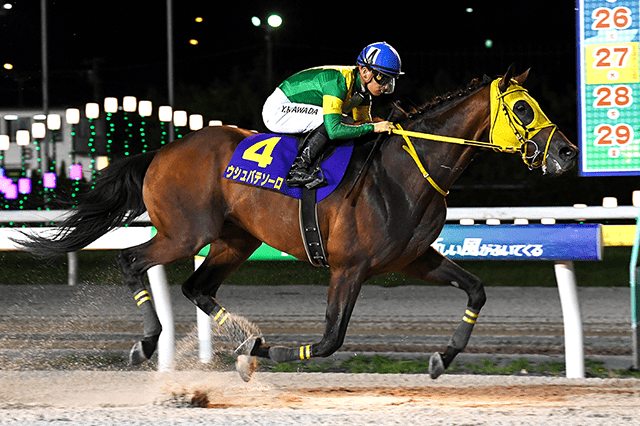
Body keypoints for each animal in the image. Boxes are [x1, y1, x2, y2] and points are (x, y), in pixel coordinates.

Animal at [17, 67, 580, 380]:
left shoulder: (413, 259)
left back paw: (243, 337)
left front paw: (443, 357)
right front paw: (257, 357)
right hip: (185, 232)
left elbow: (476, 289)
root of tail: (163, 150)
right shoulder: (349, 268)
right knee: (133, 259)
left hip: (235, 240)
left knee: (197, 286)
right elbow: (331, 339)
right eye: (523, 109)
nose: (567, 154)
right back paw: (149, 342)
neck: (405, 171)